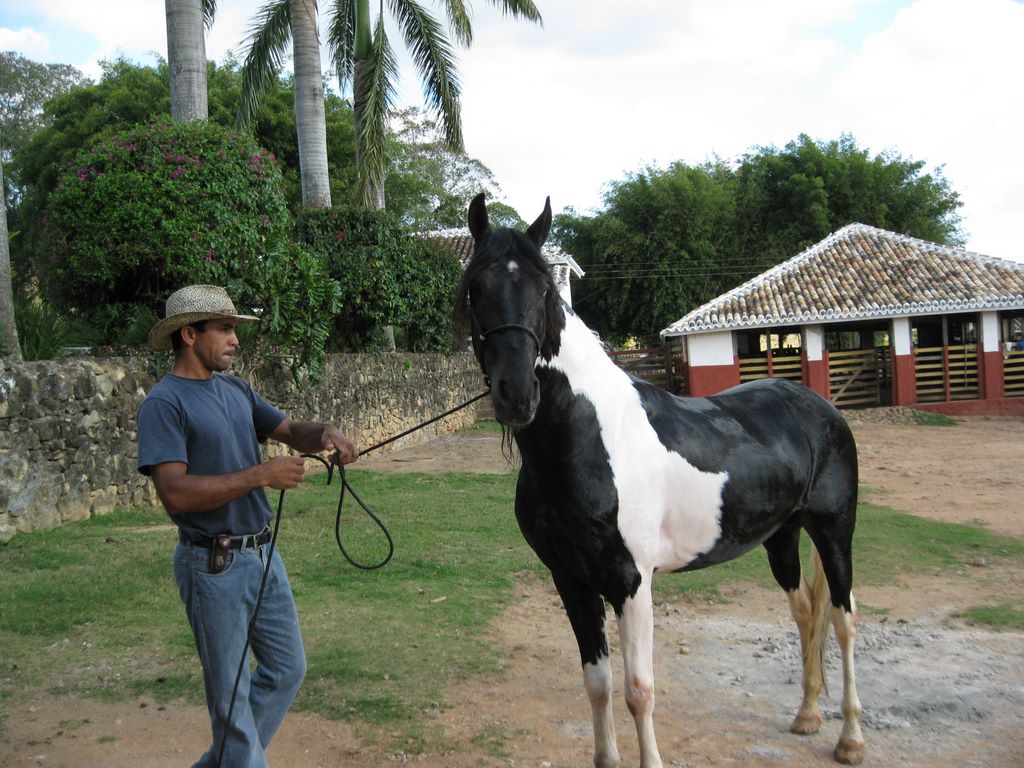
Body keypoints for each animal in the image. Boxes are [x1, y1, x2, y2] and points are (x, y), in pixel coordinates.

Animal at [454, 193, 865, 767]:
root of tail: (821, 408)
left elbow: (638, 691)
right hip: (780, 537)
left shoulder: (631, 581)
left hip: (833, 531)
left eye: (544, 291)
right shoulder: (570, 580)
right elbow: (598, 684)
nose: (516, 395)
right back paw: (806, 716)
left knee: (845, 621)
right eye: (476, 287)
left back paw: (850, 738)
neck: (587, 439)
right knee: (806, 612)